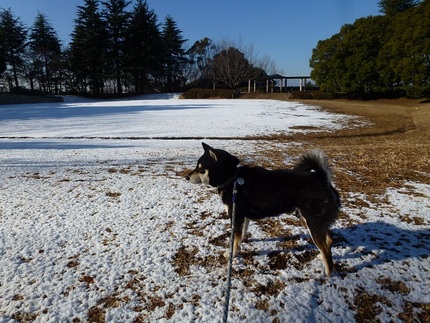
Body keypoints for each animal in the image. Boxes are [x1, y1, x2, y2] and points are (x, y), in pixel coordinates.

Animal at [186, 143, 340, 278]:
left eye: (201, 169)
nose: (186, 177)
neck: (232, 179)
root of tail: (322, 178)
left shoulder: (236, 217)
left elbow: (234, 240)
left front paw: (232, 255)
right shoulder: (243, 217)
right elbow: (240, 236)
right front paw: (241, 245)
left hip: (312, 223)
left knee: (327, 250)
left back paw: (328, 274)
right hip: (316, 222)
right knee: (329, 240)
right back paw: (321, 257)